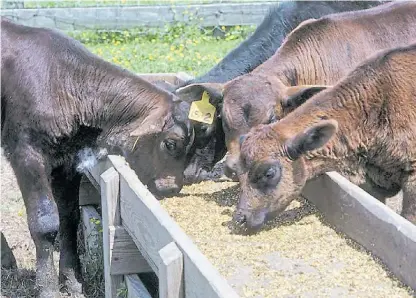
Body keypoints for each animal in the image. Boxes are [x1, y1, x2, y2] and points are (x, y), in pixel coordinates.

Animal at [0, 18, 194, 296]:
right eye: (170, 143)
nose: (173, 187)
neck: (62, 82)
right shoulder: (26, 153)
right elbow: (45, 222)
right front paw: (47, 287)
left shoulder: (68, 160)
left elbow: (68, 216)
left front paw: (73, 280)